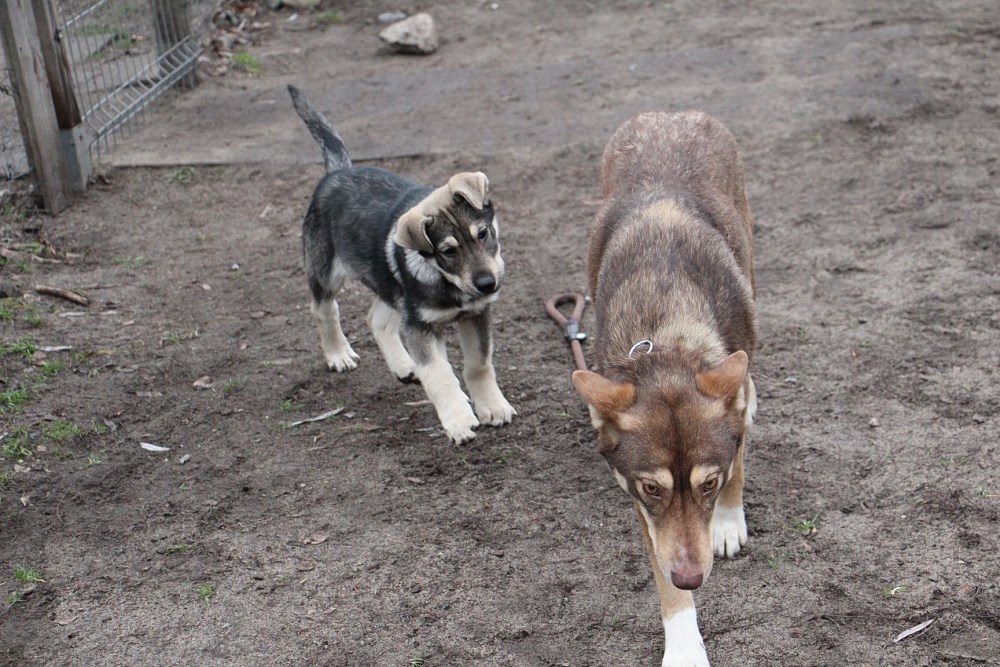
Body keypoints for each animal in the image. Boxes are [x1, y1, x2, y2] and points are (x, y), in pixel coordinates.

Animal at [289, 85, 515, 444]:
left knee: (376, 319)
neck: (448, 283)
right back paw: (338, 354)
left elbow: (479, 364)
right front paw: (459, 421)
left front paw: (492, 406)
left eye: (483, 233)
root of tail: (338, 172)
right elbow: (439, 372)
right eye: (448, 251)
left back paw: (403, 366)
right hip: (326, 272)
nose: (487, 285)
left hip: (390, 289)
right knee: (324, 309)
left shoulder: (475, 315)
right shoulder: (419, 326)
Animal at [572, 111, 758, 666]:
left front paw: (727, 523)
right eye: (652, 488)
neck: (667, 316)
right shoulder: (645, 512)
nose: (692, 577)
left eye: (709, 484)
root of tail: (668, 113)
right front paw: (684, 646)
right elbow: (663, 581)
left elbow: (739, 459)